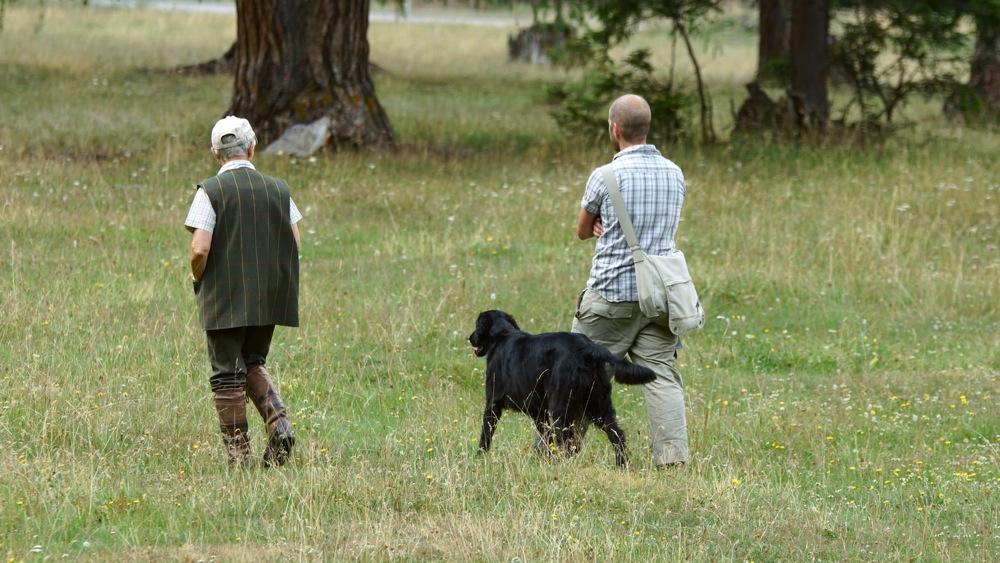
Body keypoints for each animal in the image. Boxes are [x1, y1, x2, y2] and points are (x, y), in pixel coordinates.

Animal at [468, 308, 656, 468]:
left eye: (476, 326)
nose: (470, 338)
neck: (502, 336)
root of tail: (588, 347)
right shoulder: (538, 411)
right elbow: (546, 436)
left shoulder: (493, 403)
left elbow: (485, 434)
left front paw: (479, 456)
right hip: (599, 405)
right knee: (617, 434)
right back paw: (622, 464)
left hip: (561, 407)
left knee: (567, 441)